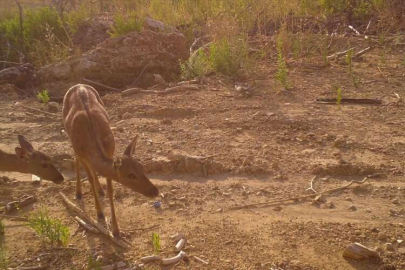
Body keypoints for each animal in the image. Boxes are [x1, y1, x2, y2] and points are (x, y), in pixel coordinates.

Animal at [62, 83, 159, 237]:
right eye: (130, 175)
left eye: (142, 167)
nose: (155, 191)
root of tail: (79, 84)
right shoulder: (82, 154)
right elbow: (89, 178)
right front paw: (100, 214)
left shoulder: (110, 151)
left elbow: (110, 189)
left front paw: (116, 230)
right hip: (69, 136)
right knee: (76, 160)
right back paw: (78, 193)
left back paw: (99, 189)